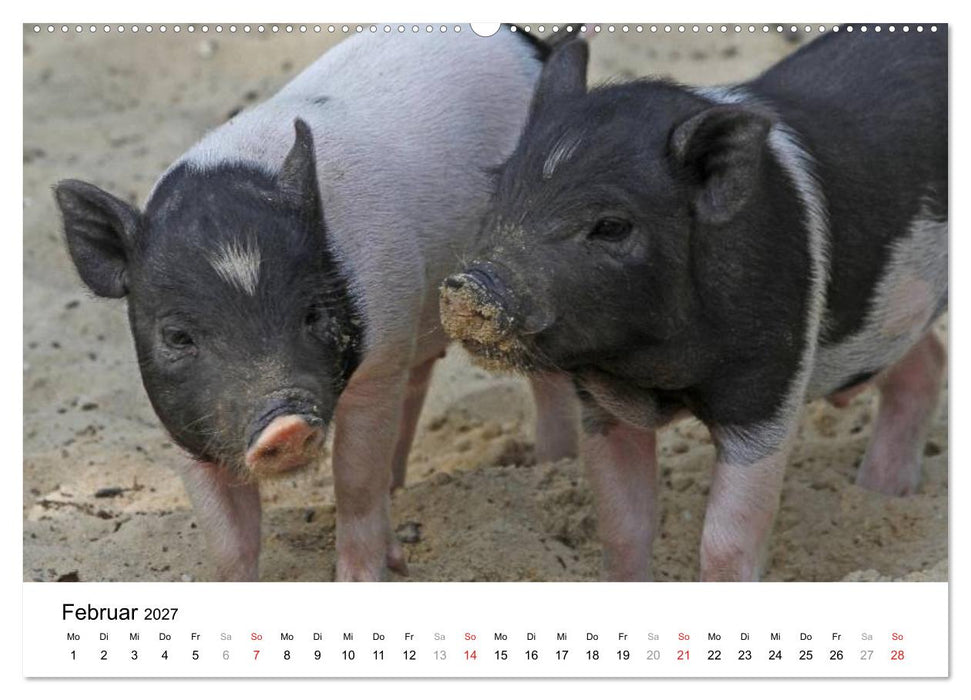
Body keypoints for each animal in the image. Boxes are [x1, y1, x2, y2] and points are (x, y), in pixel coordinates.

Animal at [54, 28, 581, 582]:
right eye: (177, 336)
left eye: (314, 315)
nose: (283, 424)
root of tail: (534, 46)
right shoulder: (186, 424)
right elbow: (228, 539)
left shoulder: (378, 361)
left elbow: (355, 480)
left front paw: (361, 577)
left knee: (548, 383)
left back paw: (551, 469)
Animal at [441, 28, 947, 581]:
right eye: (498, 190)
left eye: (612, 225)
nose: (472, 283)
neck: (650, 371)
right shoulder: (603, 406)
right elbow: (622, 527)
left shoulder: (766, 386)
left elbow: (727, 539)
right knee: (925, 364)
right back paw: (880, 493)